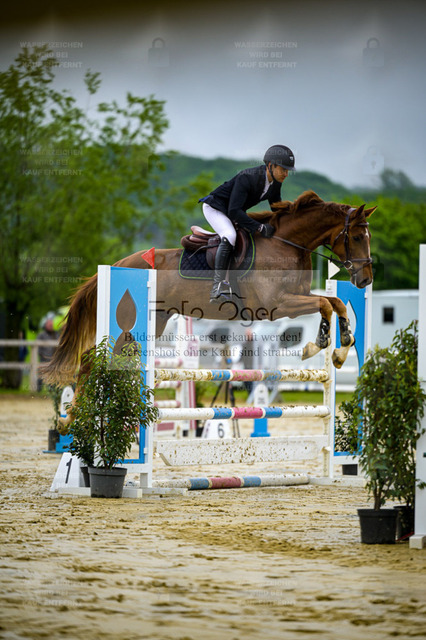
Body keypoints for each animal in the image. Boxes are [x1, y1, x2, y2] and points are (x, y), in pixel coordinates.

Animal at [42, 190, 375, 394]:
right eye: (358, 237)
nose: (365, 280)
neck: (286, 245)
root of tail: (117, 265)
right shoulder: (278, 305)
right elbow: (326, 304)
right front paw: (320, 345)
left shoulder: (295, 301)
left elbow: (333, 302)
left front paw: (339, 347)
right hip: (127, 326)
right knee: (90, 361)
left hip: (155, 321)